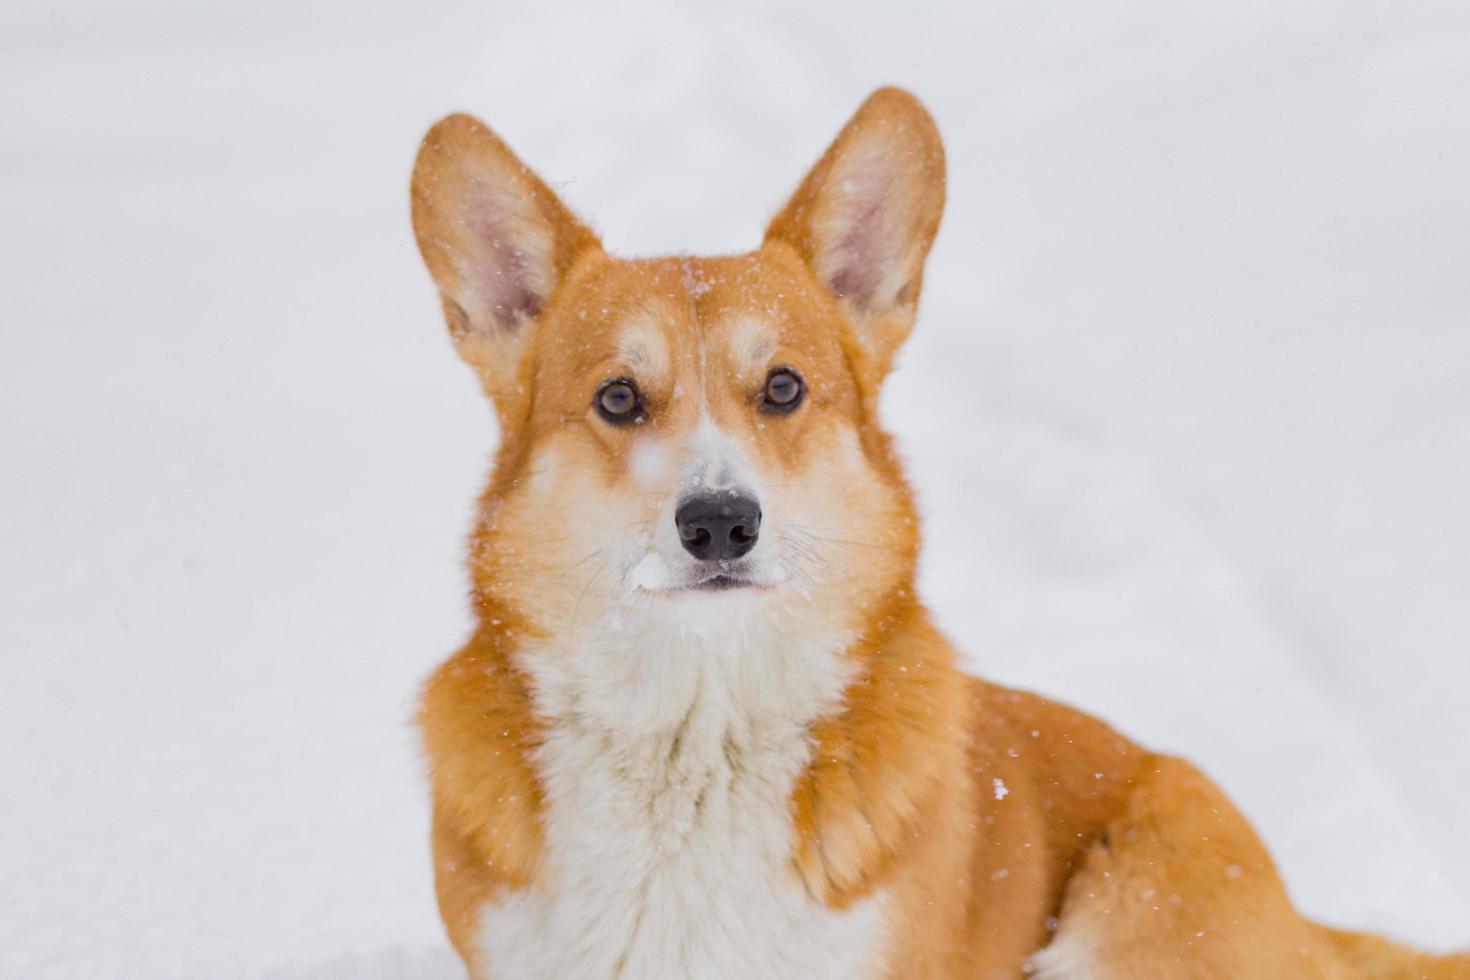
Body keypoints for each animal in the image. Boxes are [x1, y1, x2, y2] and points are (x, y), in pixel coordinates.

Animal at [405, 88, 1470, 975]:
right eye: (619, 399)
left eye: (783, 388)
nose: (720, 523)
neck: (696, 734)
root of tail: (1303, 920)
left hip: (1131, 912)